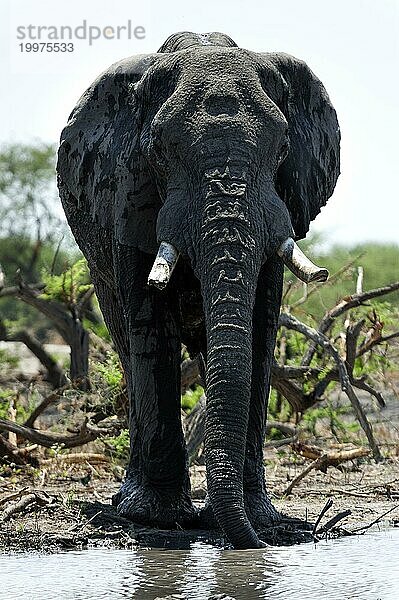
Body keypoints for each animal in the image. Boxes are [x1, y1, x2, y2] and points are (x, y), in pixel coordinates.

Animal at [57, 31, 340, 548]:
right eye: (159, 151)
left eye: (283, 147)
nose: (259, 546)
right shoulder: (128, 193)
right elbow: (152, 327)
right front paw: (161, 519)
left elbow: (260, 329)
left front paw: (259, 521)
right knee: (128, 347)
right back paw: (129, 505)